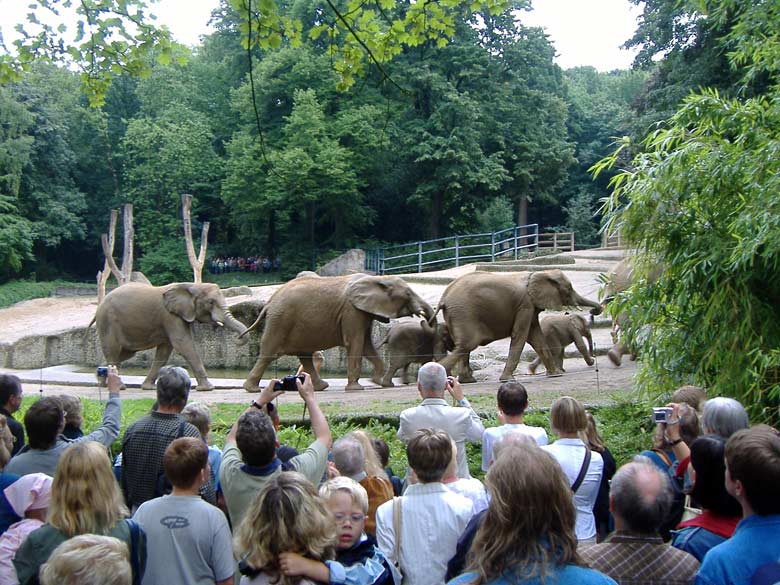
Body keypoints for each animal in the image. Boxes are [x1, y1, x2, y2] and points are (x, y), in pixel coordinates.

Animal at [93, 282, 248, 390]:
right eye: (211, 302)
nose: (238, 339)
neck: (192, 285)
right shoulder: (170, 316)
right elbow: (182, 344)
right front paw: (208, 388)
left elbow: (165, 351)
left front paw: (148, 388)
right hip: (107, 321)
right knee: (113, 350)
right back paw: (118, 386)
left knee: (124, 353)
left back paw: (101, 380)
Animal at [238, 274, 432, 392]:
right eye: (408, 294)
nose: (423, 317)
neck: (375, 278)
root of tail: (269, 302)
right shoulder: (351, 311)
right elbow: (355, 343)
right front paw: (357, 389)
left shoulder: (362, 313)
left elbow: (366, 345)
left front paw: (376, 382)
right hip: (281, 321)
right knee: (269, 353)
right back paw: (252, 389)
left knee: (305, 356)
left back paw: (321, 387)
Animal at [432, 270, 604, 384]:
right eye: (569, 289)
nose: (594, 311)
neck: (538, 274)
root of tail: (443, 298)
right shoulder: (525, 305)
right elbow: (520, 335)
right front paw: (507, 380)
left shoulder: (530, 308)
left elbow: (536, 337)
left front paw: (555, 375)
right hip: (464, 313)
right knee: (466, 345)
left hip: (458, 315)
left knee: (463, 346)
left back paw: (467, 380)